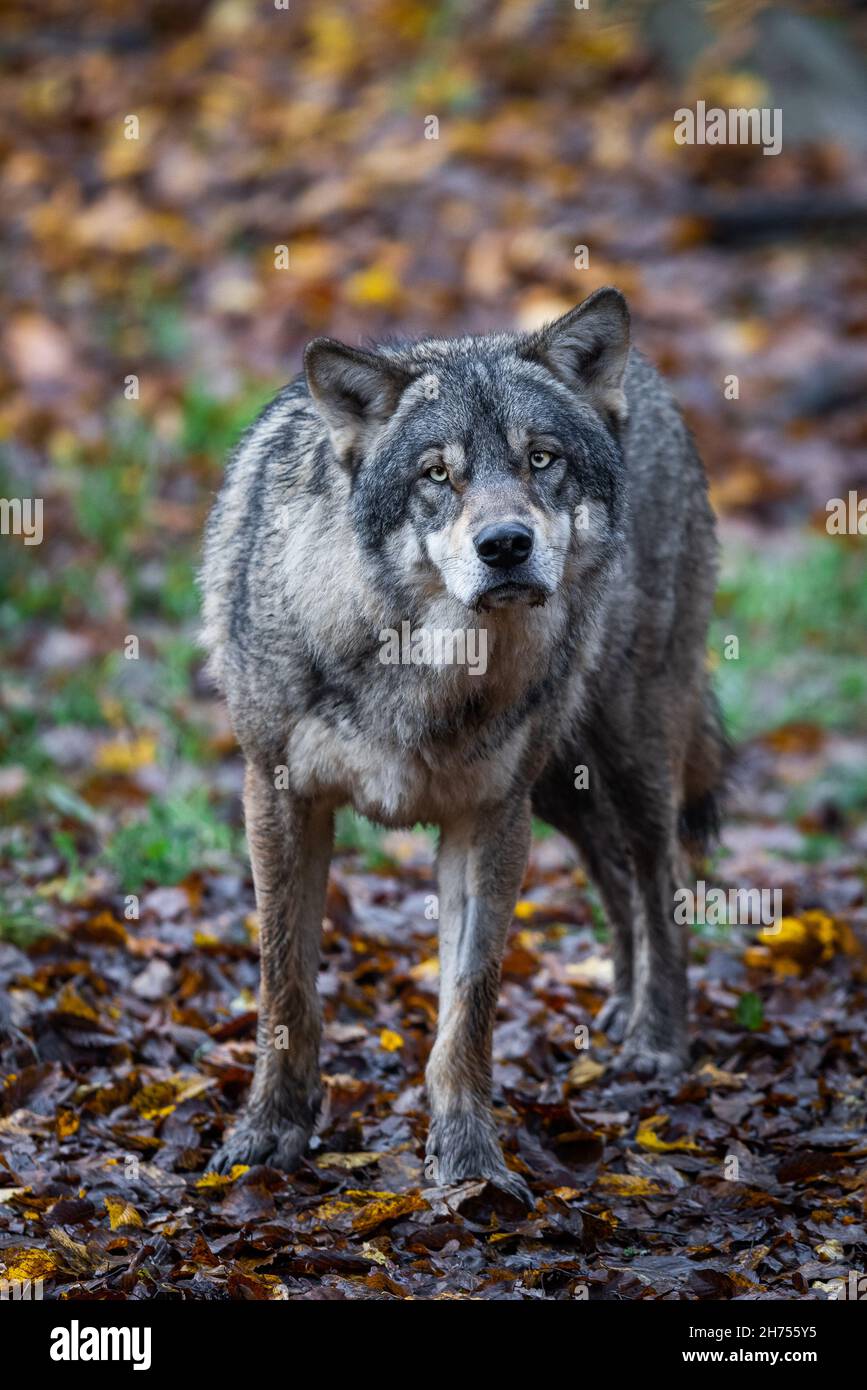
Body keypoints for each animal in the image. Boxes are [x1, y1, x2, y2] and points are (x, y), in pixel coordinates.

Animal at [200, 287, 725, 1203]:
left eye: (541, 460)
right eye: (436, 474)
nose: (505, 544)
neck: (429, 668)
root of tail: (647, 382)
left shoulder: (489, 816)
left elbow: (468, 1004)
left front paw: (471, 1160)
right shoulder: (276, 792)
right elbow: (284, 985)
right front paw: (268, 1133)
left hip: (625, 757)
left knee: (662, 875)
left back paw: (655, 1038)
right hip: (563, 791)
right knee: (615, 876)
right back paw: (621, 1007)